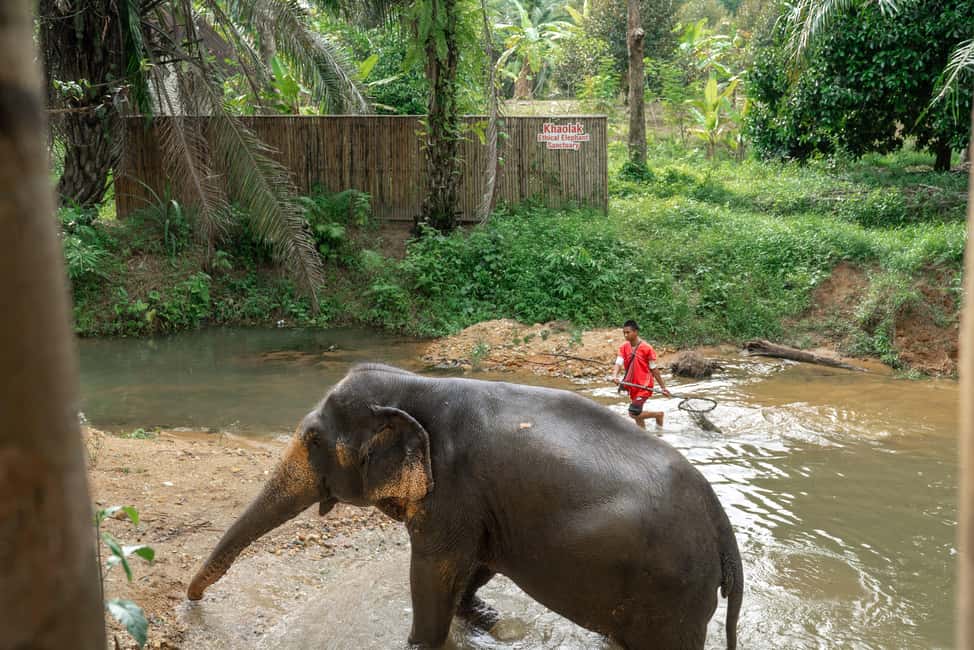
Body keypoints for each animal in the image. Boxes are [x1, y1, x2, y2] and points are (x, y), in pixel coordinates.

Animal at [187, 363, 743, 649]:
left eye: (313, 440)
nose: (192, 603)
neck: (418, 385)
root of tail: (722, 527)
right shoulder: (481, 504)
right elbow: (476, 561)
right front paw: (485, 618)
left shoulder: (454, 489)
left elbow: (432, 571)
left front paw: (419, 643)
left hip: (672, 595)